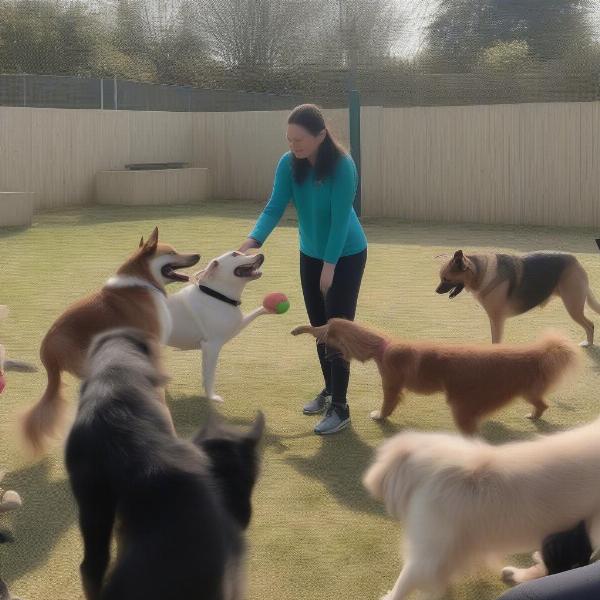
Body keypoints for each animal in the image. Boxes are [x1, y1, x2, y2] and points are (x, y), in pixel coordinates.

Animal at [169, 251, 272, 400]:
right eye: (235, 254)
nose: (260, 254)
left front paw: (267, 308)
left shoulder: (237, 325)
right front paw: (212, 397)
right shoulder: (212, 346)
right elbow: (209, 376)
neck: (217, 296)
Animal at [292, 318, 580, 432]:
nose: (324, 353)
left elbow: (387, 405)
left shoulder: (391, 387)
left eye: (328, 336)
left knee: (541, 404)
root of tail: (534, 353)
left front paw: (380, 416)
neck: (382, 347)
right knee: (542, 403)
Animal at [436, 251, 600, 346]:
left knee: (590, 325)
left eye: (446, 279)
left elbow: (496, 341)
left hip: (573, 308)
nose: (436, 291)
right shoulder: (493, 320)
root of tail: (575, 261)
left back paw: (588, 343)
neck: (481, 271)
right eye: (441, 278)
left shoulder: (497, 320)